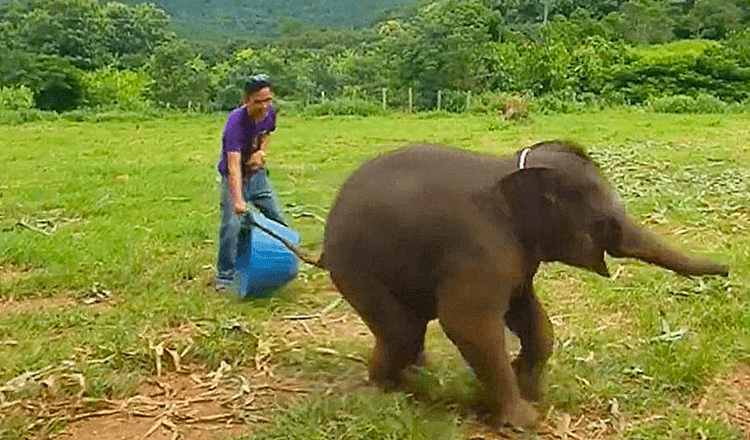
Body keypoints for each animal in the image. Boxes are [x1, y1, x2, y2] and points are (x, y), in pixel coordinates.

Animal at [312, 140, 728, 426]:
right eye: (604, 223)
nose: (727, 269)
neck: (511, 166)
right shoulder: (478, 247)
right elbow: (468, 323)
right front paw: (525, 421)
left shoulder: (517, 255)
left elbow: (528, 313)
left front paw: (528, 386)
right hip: (357, 270)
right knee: (402, 330)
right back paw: (392, 391)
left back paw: (416, 378)